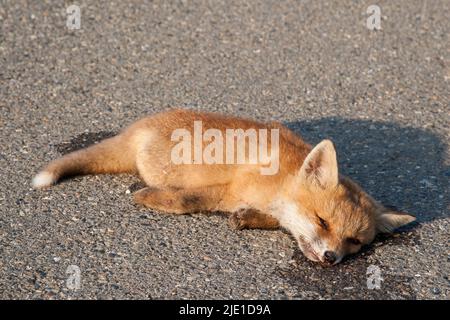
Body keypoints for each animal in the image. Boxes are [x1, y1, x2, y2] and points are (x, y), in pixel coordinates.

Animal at [32, 109, 418, 264]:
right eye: (323, 222)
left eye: (353, 242)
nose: (330, 258)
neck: (280, 182)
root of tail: (139, 126)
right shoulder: (229, 187)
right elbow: (189, 201)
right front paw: (152, 199)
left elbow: (267, 218)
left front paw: (249, 218)